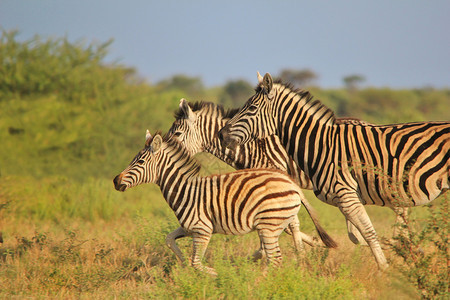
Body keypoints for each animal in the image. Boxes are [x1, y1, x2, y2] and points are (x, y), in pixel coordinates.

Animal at [114, 130, 310, 276]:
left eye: (140, 161)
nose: (116, 181)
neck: (185, 191)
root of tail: (291, 183)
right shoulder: (189, 228)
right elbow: (169, 240)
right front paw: (184, 263)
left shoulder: (202, 229)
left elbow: (196, 262)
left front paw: (218, 274)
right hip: (275, 223)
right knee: (286, 244)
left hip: (268, 226)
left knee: (275, 259)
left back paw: (258, 283)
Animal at [216, 72, 448, 270]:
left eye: (251, 108)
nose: (220, 134)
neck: (322, 144)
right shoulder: (347, 198)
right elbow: (357, 236)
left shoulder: (346, 195)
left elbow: (368, 233)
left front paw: (385, 269)